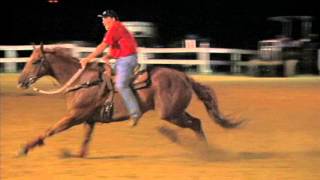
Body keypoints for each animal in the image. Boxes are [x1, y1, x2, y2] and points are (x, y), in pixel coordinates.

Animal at [17, 44, 241, 158]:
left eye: (36, 61)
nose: (21, 81)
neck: (83, 81)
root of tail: (184, 77)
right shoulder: (89, 120)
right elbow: (84, 143)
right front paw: (75, 154)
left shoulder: (74, 116)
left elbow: (50, 130)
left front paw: (25, 148)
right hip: (177, 111)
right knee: (197, 122)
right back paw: (204, 149)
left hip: (170, 113)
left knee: (195, 123)